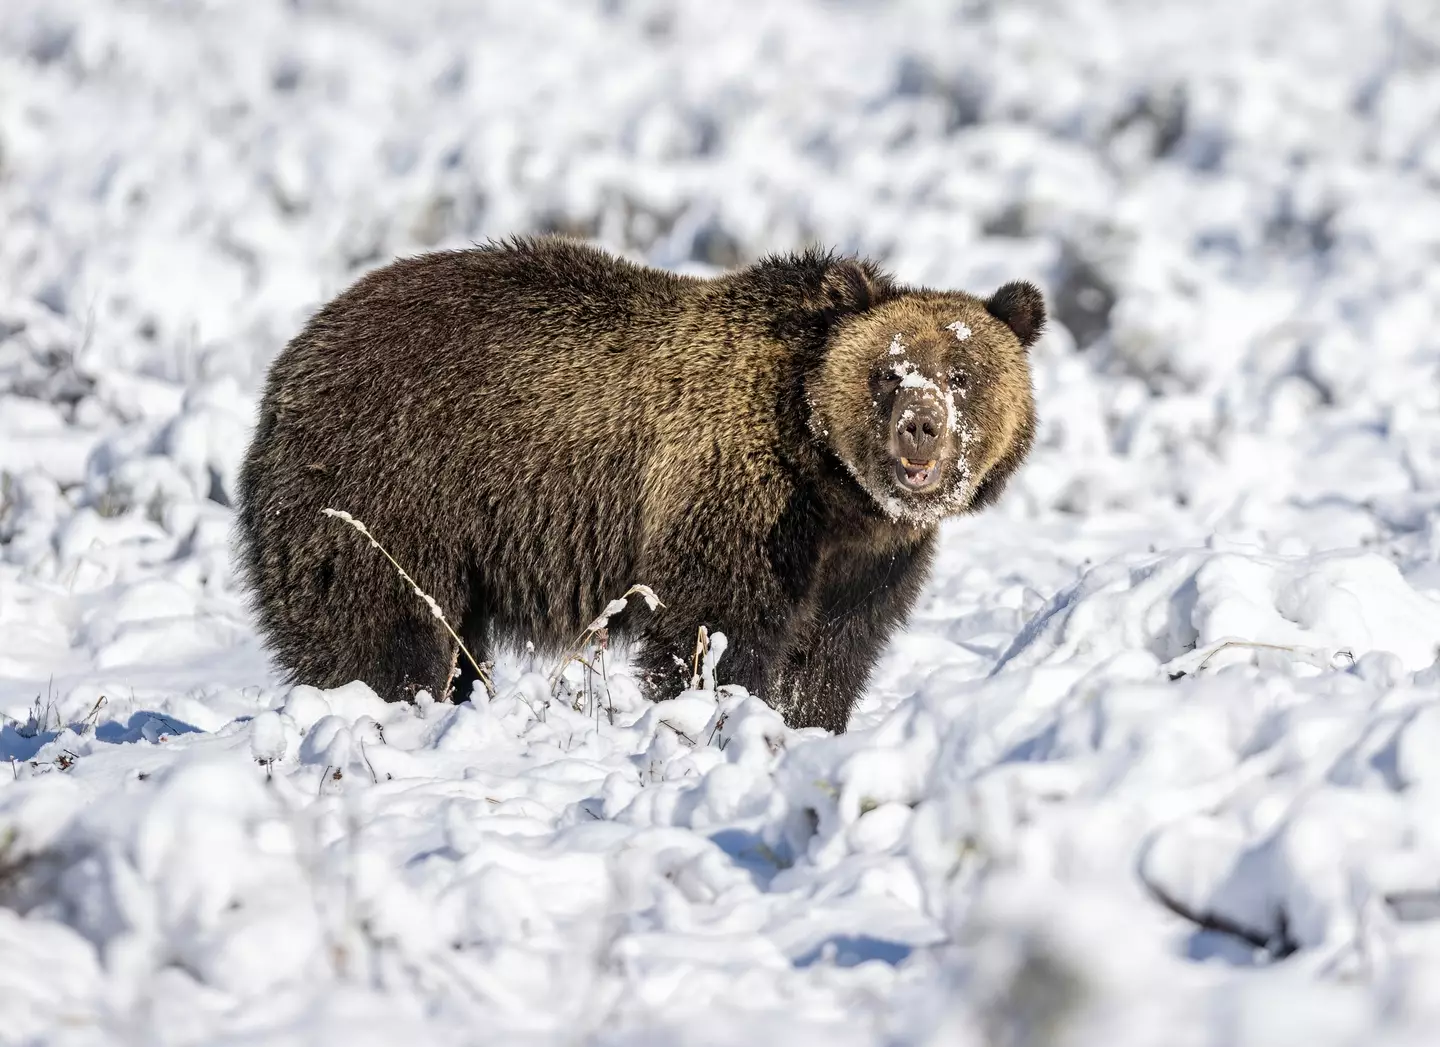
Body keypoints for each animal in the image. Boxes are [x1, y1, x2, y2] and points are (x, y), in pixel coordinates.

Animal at [235, 236, 1042, 733]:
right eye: (889, 370)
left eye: (962, 374)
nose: (920, 427)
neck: (831, 485)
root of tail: (291, 359)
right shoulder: (738, 499)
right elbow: (714, 630)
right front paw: (715, 714)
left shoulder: (867, 562)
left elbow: (831, 654)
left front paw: (807, 722)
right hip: (390, 490)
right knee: (383, 630)